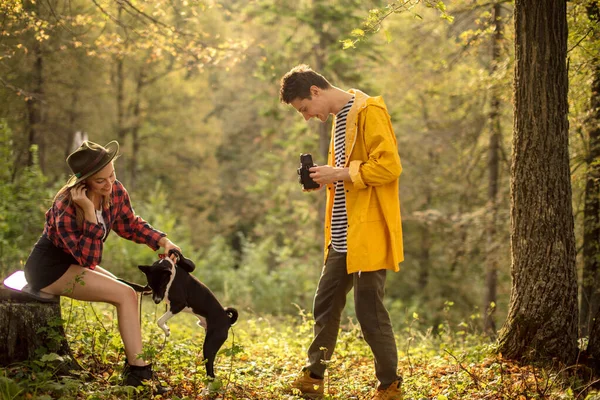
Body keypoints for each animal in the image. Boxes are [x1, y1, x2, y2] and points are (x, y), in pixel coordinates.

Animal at [124, 250, 237, 378]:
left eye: (162, 285)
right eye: (151, 286)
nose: (157, 301)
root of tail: (228, 320)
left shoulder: (179, 304)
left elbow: (160, 320)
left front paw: (166, 331)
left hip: (209, 345)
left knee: (211, 373)